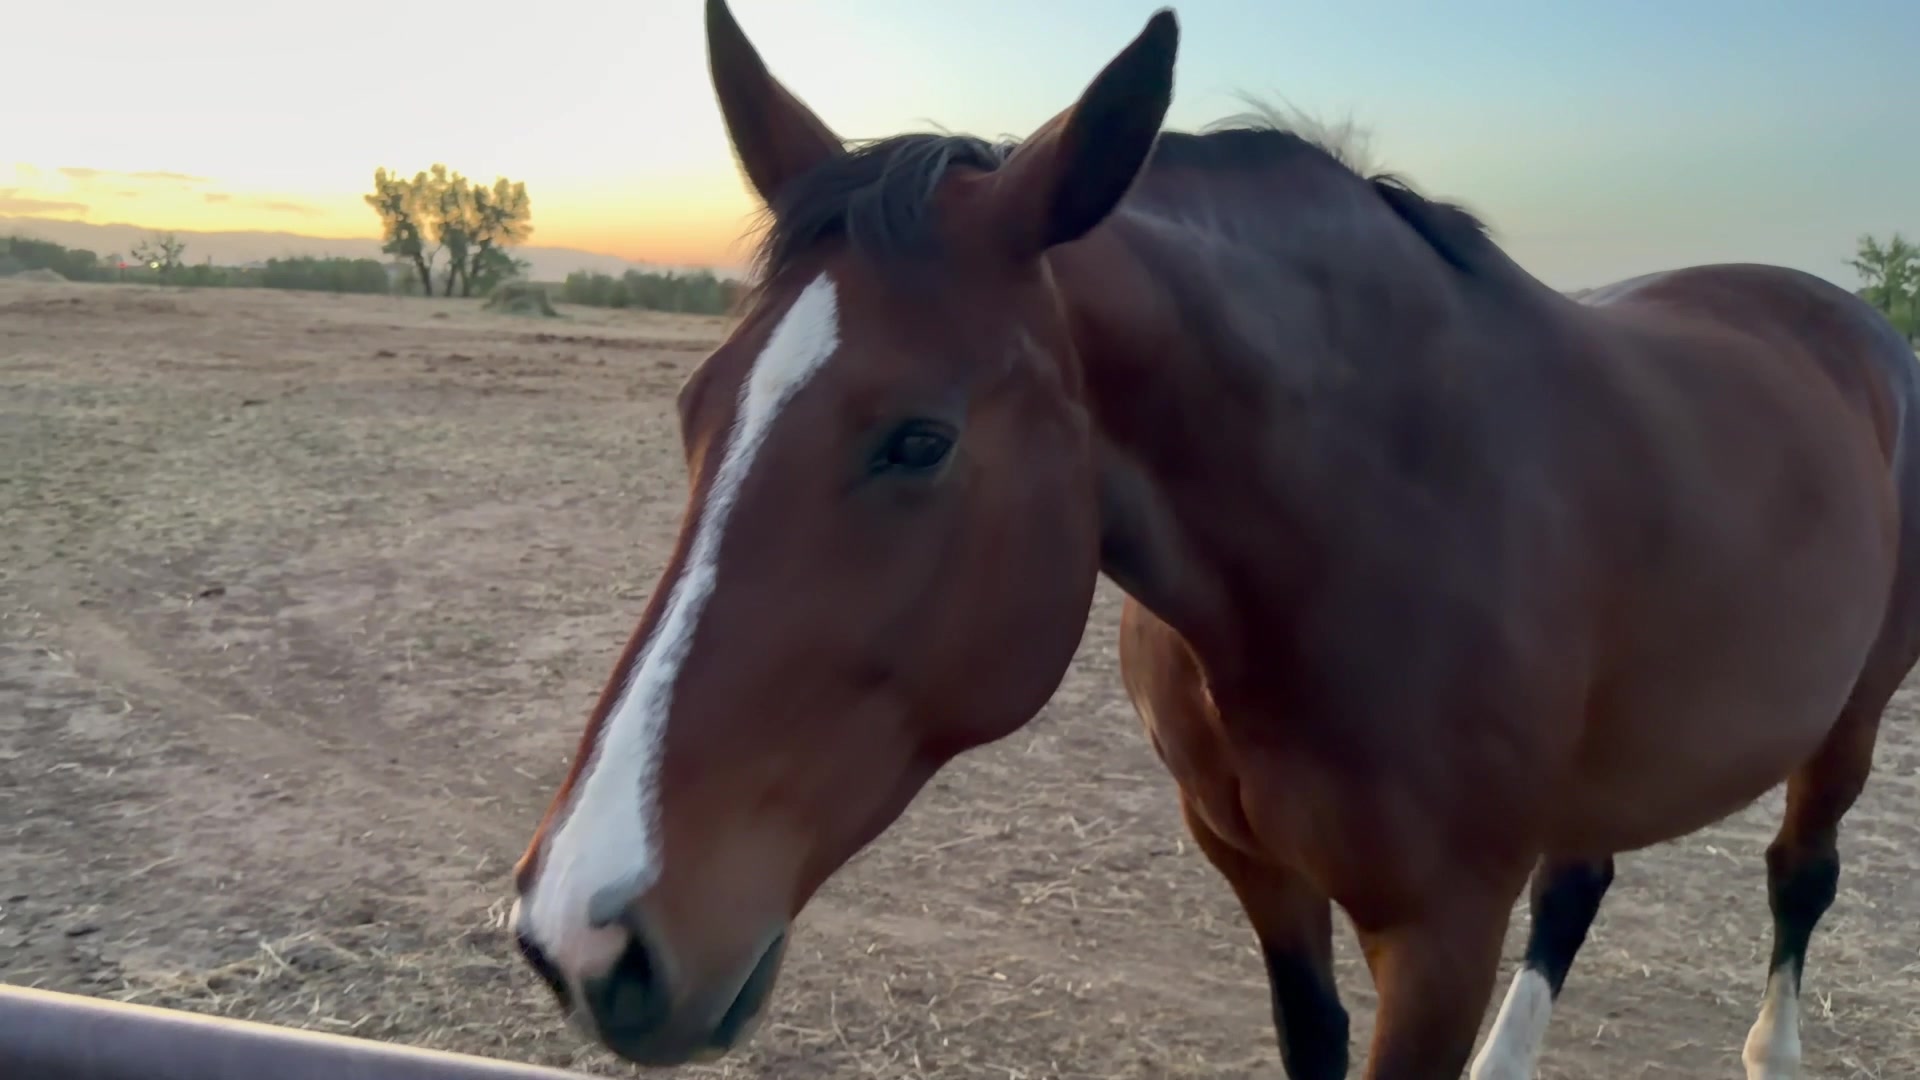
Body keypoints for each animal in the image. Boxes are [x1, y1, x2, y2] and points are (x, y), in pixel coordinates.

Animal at [508, 3, 1920, 1077]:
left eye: (918, 440)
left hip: (1849, 719)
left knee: (1799, 877)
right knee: (1582, 885)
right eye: (694, 408)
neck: (1381, 520)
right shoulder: (1257, 872)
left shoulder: (1445, 933)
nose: (582, 936)